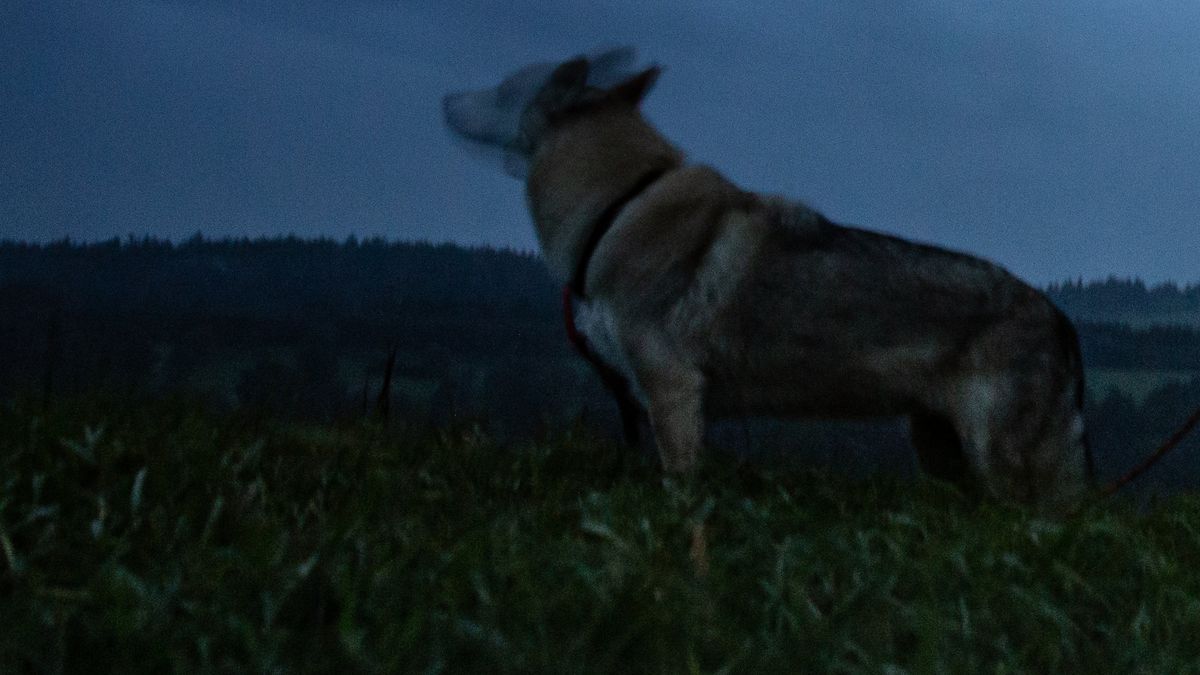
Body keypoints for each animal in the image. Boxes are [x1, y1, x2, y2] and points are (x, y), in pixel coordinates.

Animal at [443, 48, 1093, 511]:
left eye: (501, 88)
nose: (445, 97)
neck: (619, 206)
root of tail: (1060, 318)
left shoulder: (671, 389)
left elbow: (677, 487)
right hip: (938, 451)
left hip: (1000, 462)